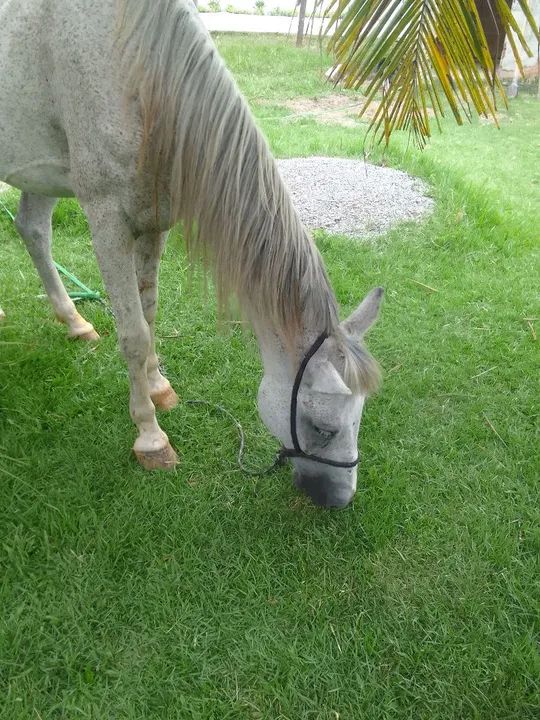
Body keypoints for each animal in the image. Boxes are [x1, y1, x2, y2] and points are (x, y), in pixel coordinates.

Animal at [0, 0, 383, 509]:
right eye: (324, 427)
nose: (340, 500)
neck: (140, 72)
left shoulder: (152, 221)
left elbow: (148, 313)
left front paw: (159, 387)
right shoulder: (107, 222)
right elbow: (132, 335)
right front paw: (150, 438)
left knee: (32, 229)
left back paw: (75, 322)